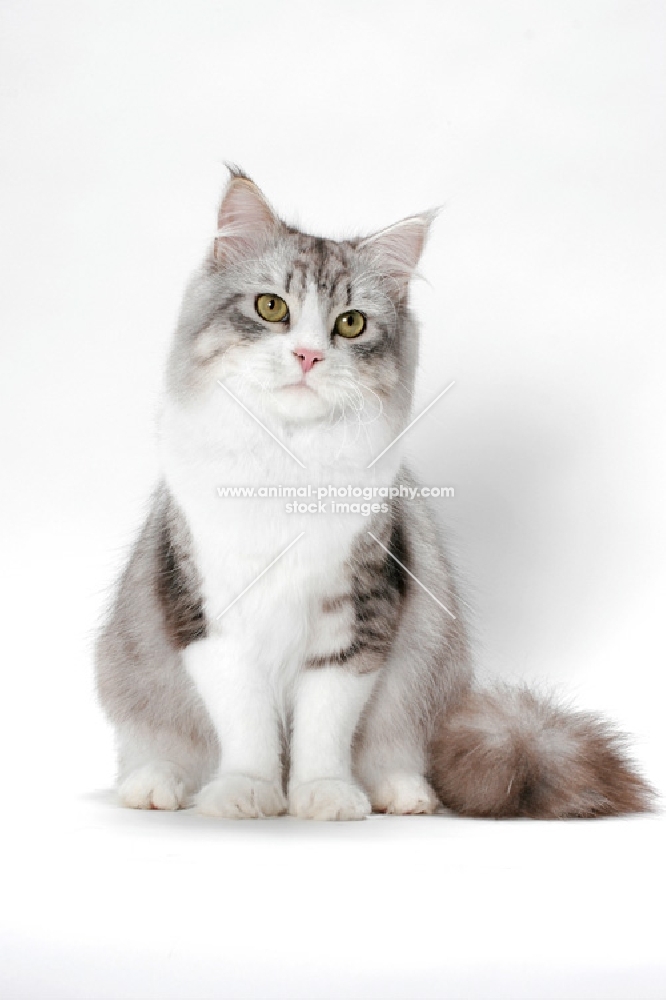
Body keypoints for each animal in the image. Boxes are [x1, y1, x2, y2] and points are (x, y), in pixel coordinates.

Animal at [94, 166, 652, 820]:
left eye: (350, 323)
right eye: (271, 307)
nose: (308, 355)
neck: (290, 463)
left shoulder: (358, 613)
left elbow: (324, 725)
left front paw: (323, 794)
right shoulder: (209, 612)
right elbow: (247, 725)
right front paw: (248, 791)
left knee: (397, 752)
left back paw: (401, 793)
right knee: (154, 749)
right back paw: (156, 785)